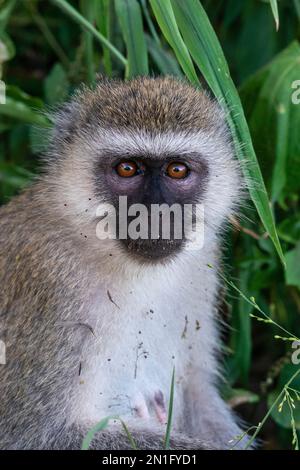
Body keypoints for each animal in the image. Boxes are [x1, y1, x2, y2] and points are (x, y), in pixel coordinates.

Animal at [0, 78, 248, 452]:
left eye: (177, 170)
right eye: (127, 168)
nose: (157, 213)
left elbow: (197, 392)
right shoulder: (48, 286)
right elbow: (35, 434)